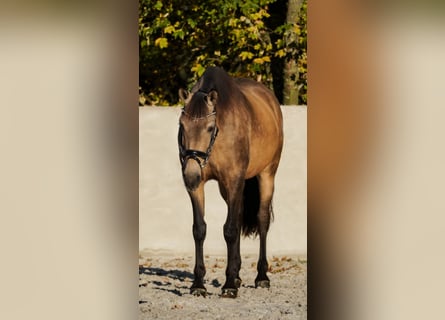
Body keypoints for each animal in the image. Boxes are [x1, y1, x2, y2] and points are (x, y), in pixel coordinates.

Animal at [176, 66, 282, 298]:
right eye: (182, 126)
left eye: (209, 127)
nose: (190, 175)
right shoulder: (198, 186)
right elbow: (199, 229)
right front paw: (199, 284)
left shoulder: (234, 180)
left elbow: (230, 230)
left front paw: (229, 285)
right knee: (240, 215)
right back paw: (238, 274)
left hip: (267, 174)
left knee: (262, 220)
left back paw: (261, 276)